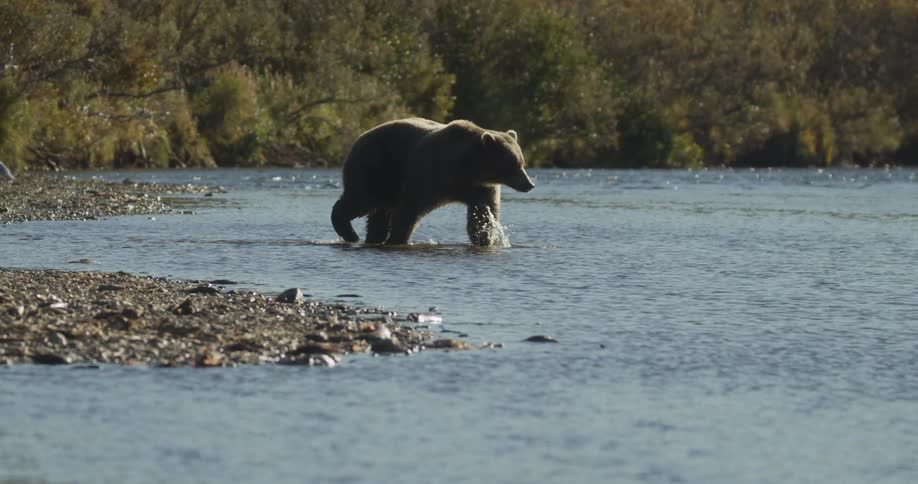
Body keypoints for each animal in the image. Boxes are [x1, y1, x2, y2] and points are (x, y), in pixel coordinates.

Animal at [331, 118, 534, 246]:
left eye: (522, 162)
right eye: (513, 164)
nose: (529, 185)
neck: (469, 168)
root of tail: (360, 137)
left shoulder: (480, 188)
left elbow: (482, 215)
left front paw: (485, 239)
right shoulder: (432, 174)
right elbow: (410, 207)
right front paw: (397, 238)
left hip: (388, 178)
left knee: (380, 213)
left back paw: (373, 237)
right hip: (376, 167)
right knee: (361, 199)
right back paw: (350, 233)